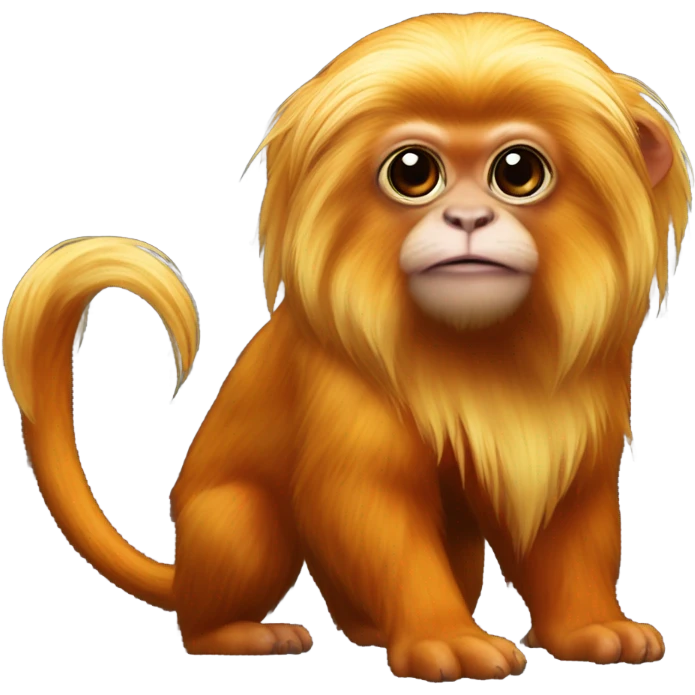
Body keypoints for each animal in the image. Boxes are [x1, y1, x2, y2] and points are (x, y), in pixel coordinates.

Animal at [2, 12, 691, 682]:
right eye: (413, 172)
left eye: (518, 171)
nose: (468, 219)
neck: (479, 351)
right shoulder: (344, 400)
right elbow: (370, 509)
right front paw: (446, 640)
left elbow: (567, 530)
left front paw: (591, 630)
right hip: (233, 527)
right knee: (234, 554)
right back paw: (239, 634)